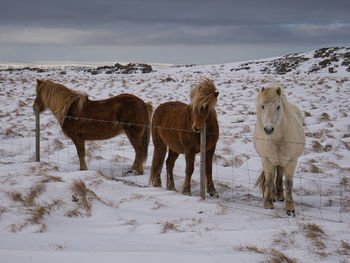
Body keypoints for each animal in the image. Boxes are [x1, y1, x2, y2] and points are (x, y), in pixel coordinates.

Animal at [253, 84, 304, 217]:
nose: (268, 129)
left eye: (278, 107)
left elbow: (289, 183)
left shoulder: (292, 161)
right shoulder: (266, 159)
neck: (277, 139)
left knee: (280, 173)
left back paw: (280, 195)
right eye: (262, 106)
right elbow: (269, 180)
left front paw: (290, 208)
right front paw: (268, 204)